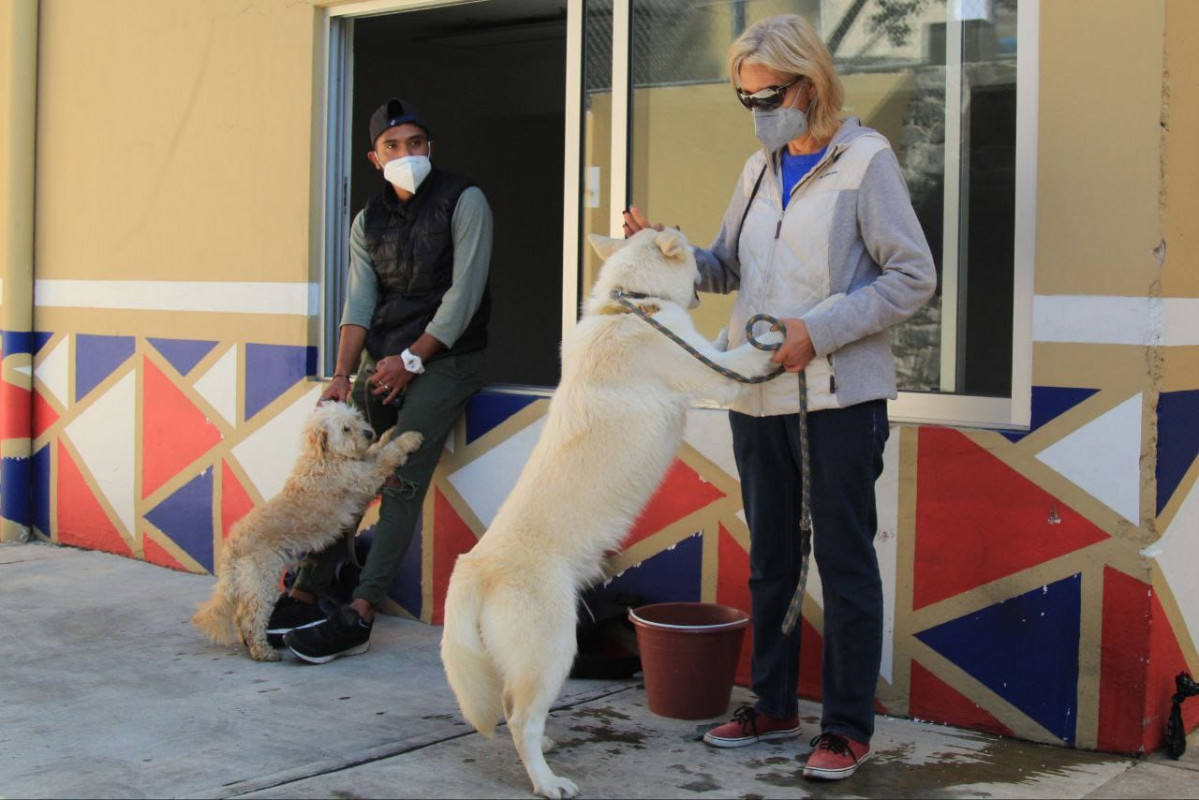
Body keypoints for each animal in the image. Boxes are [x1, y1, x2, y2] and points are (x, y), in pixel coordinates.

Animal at [191, 402, 422, 662]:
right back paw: (263, 651)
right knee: (252, 618)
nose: (369, 432)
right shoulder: (364, 477)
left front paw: (387, 433)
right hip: (262, 580)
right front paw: (409, 439)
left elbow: (377, 450)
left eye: (358, 417)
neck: (327, 457)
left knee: (242, 614)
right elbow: (386, 455)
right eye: (345, 428)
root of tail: (231, 546)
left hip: (249, 582)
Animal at [446, 226, 781, 800]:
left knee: (514, 705)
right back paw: (548, 781)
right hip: (555, 649)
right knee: (521, 718)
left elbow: (715, 345)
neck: (631, 304)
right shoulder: (719, 378)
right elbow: (739, 357)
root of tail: (476, 567)